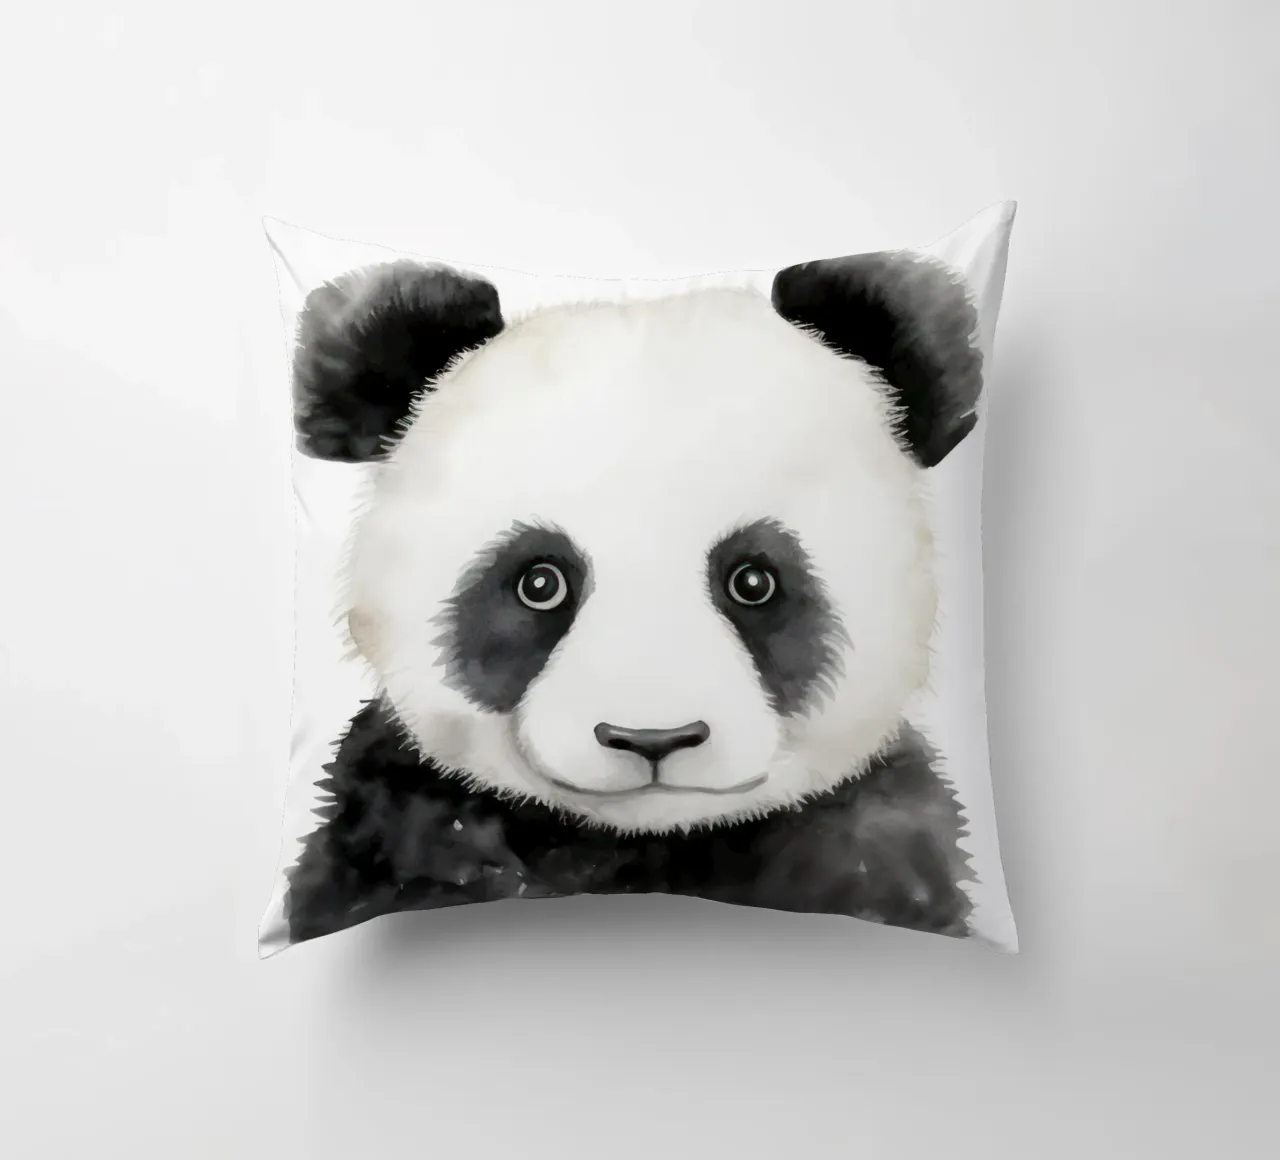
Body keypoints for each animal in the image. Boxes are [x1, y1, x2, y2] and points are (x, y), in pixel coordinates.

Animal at [282, 249, 986, 947]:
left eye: (753, 581)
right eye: (540, 582)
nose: (653, 739)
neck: (645, 845)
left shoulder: (876, 837)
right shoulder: (397, 820)